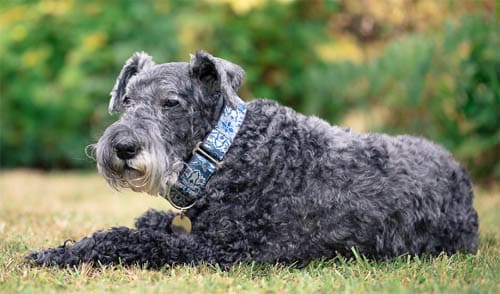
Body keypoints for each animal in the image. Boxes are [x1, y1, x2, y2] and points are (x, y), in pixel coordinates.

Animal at [26, 51, 476, 268]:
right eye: (128, 101)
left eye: (170, 102)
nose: (122, 147)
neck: (224, 153)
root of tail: (461, 176)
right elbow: (153, 226)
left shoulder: (220, 251)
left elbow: (128, 240)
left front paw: (55, 253)